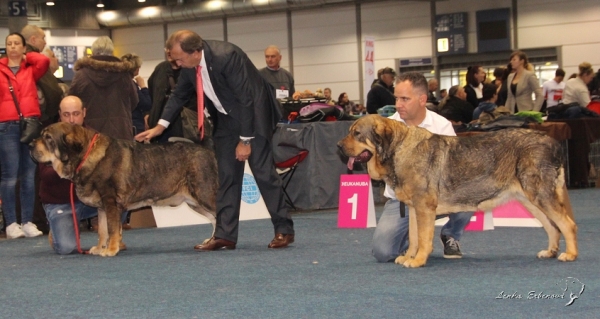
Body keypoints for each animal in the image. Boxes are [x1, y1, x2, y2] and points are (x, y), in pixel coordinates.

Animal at [30, 122, 218, 258]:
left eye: (47, 138)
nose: (30, 145)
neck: (85, 155)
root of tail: (209, 152)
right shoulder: (102, 207)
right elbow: (102, 230)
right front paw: (100, 247)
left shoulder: (110, 202)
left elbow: (112, 229)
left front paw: (111, 250)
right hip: (196, 202)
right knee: (215, 219)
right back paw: (212, 240)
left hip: (204, 195)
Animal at [338, 114, 576, 268]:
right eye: (349, 132)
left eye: (357, 133)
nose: (338, 146)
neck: (398, 149)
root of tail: (553, 142)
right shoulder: (415, 209)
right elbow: (414, 238)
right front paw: (409, 257)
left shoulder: (424, 207)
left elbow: (423, 238)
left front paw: (418, 260)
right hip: (529, 199)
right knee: (552, 227)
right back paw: (550, 251)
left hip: (540, 194)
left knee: (567, 224)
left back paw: (570, 254)